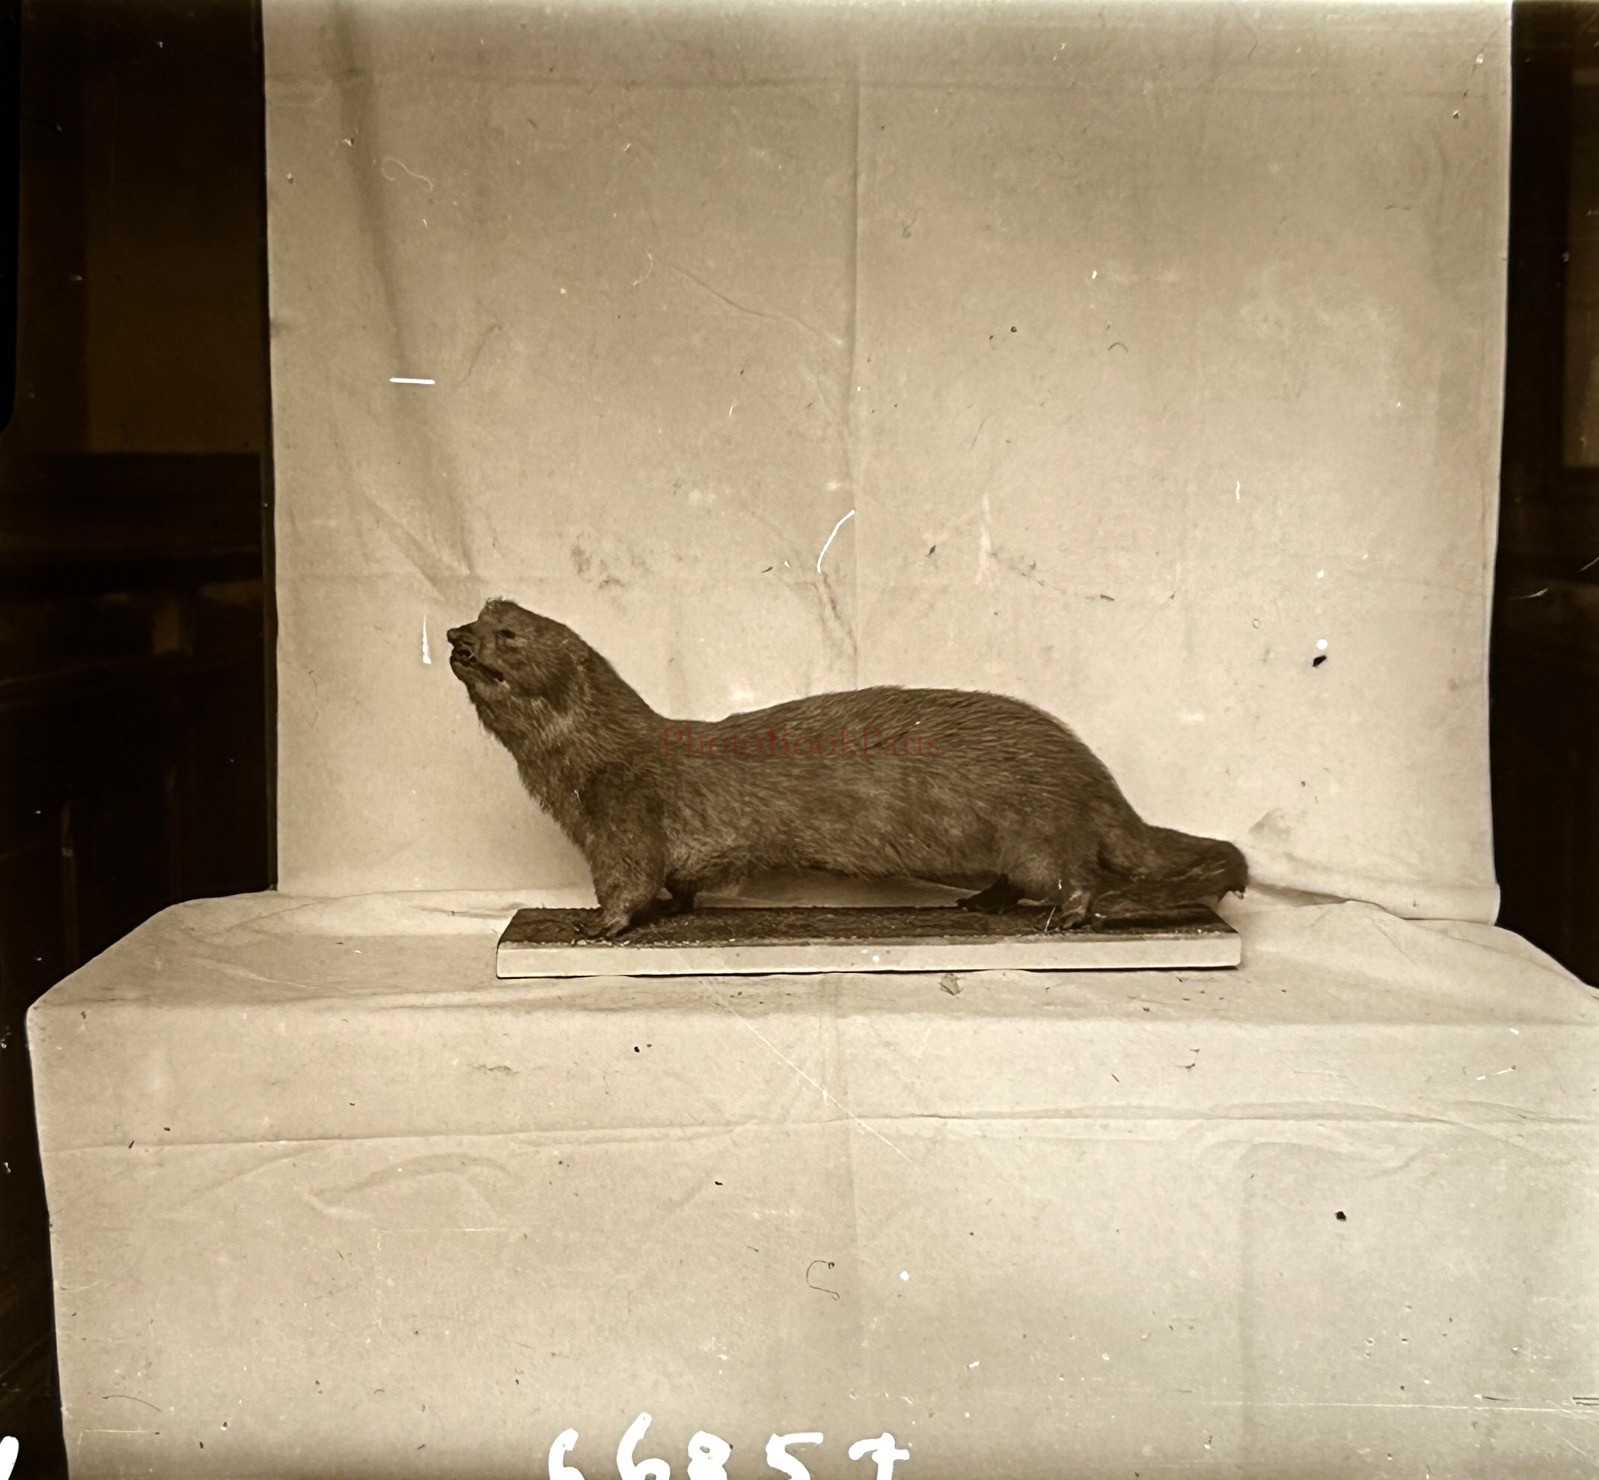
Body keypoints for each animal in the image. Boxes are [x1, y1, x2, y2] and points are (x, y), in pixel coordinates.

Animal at [447, 599, 1247, 938]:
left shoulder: (623, 813)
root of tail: (1090, 773)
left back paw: (1068, 918)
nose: (456, 636)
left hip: (1037, 827)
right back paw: (982, 904)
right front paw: (674, 911)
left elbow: (628, 881)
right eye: (475, 617)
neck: (573, 774)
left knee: (1071, 873)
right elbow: (678, 885)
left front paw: (598, 927)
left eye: (509, 634)